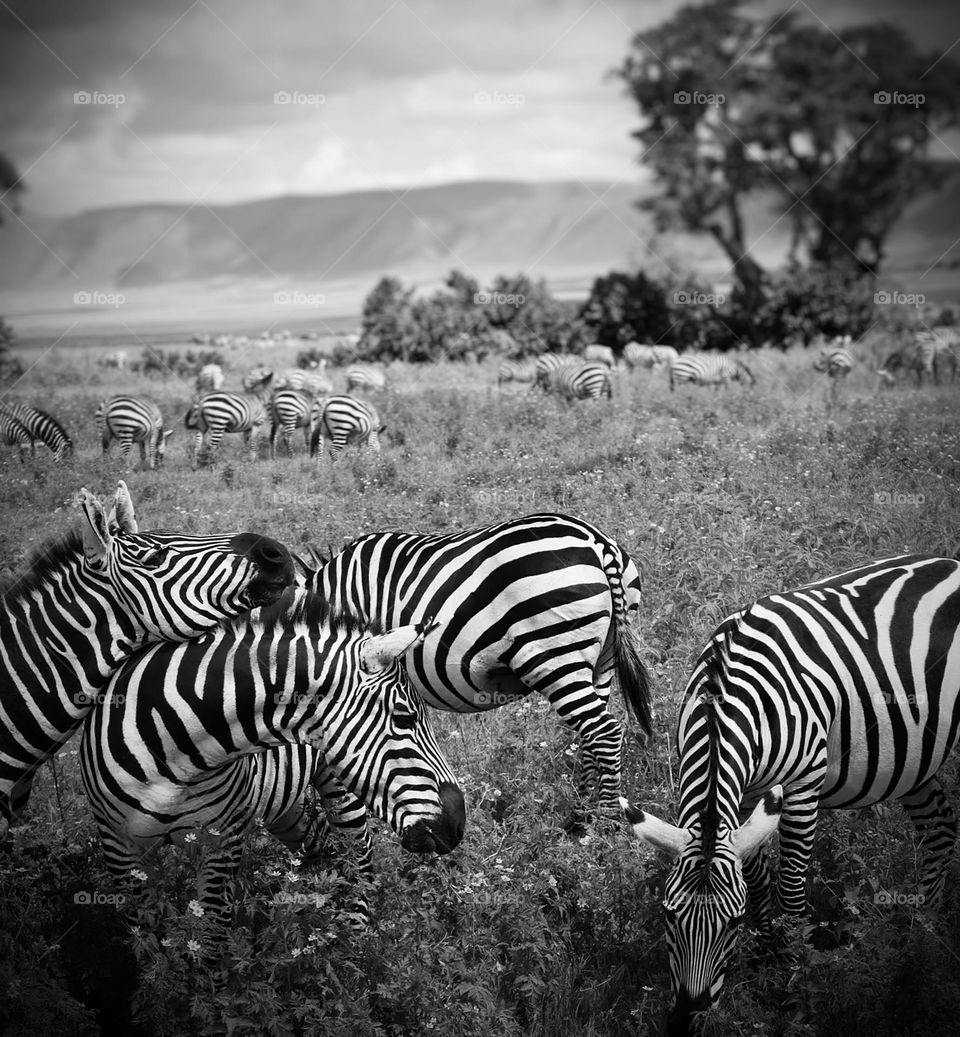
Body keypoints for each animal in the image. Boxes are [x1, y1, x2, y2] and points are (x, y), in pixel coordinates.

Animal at [79, 588, 465, 924]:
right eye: (404, 719)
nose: (459, 824)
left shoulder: (222, 842)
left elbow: (211, 939)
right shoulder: (118, 847)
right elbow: (149, 939)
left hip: (337, 788)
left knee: (359, 859)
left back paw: (350, 944)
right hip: (284, 804)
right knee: (323, 845)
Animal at [301, 513, 653, 828]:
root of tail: (597, 542)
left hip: (554, 655)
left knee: (604, 732)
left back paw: (605, 827)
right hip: (602, 659)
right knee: (590, 737)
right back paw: (580, 819)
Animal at [621, 554, 960, 1035]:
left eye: (733, 923)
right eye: (669, 915)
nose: (688, 1022)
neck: (724, 698)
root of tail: (949, 562)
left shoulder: (800, 789)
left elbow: (791, 892)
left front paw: (793, 980)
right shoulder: (749, 799)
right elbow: (760, 886)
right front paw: (766, 961)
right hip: (914, 758)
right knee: (939, 827)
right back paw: (921, 936)